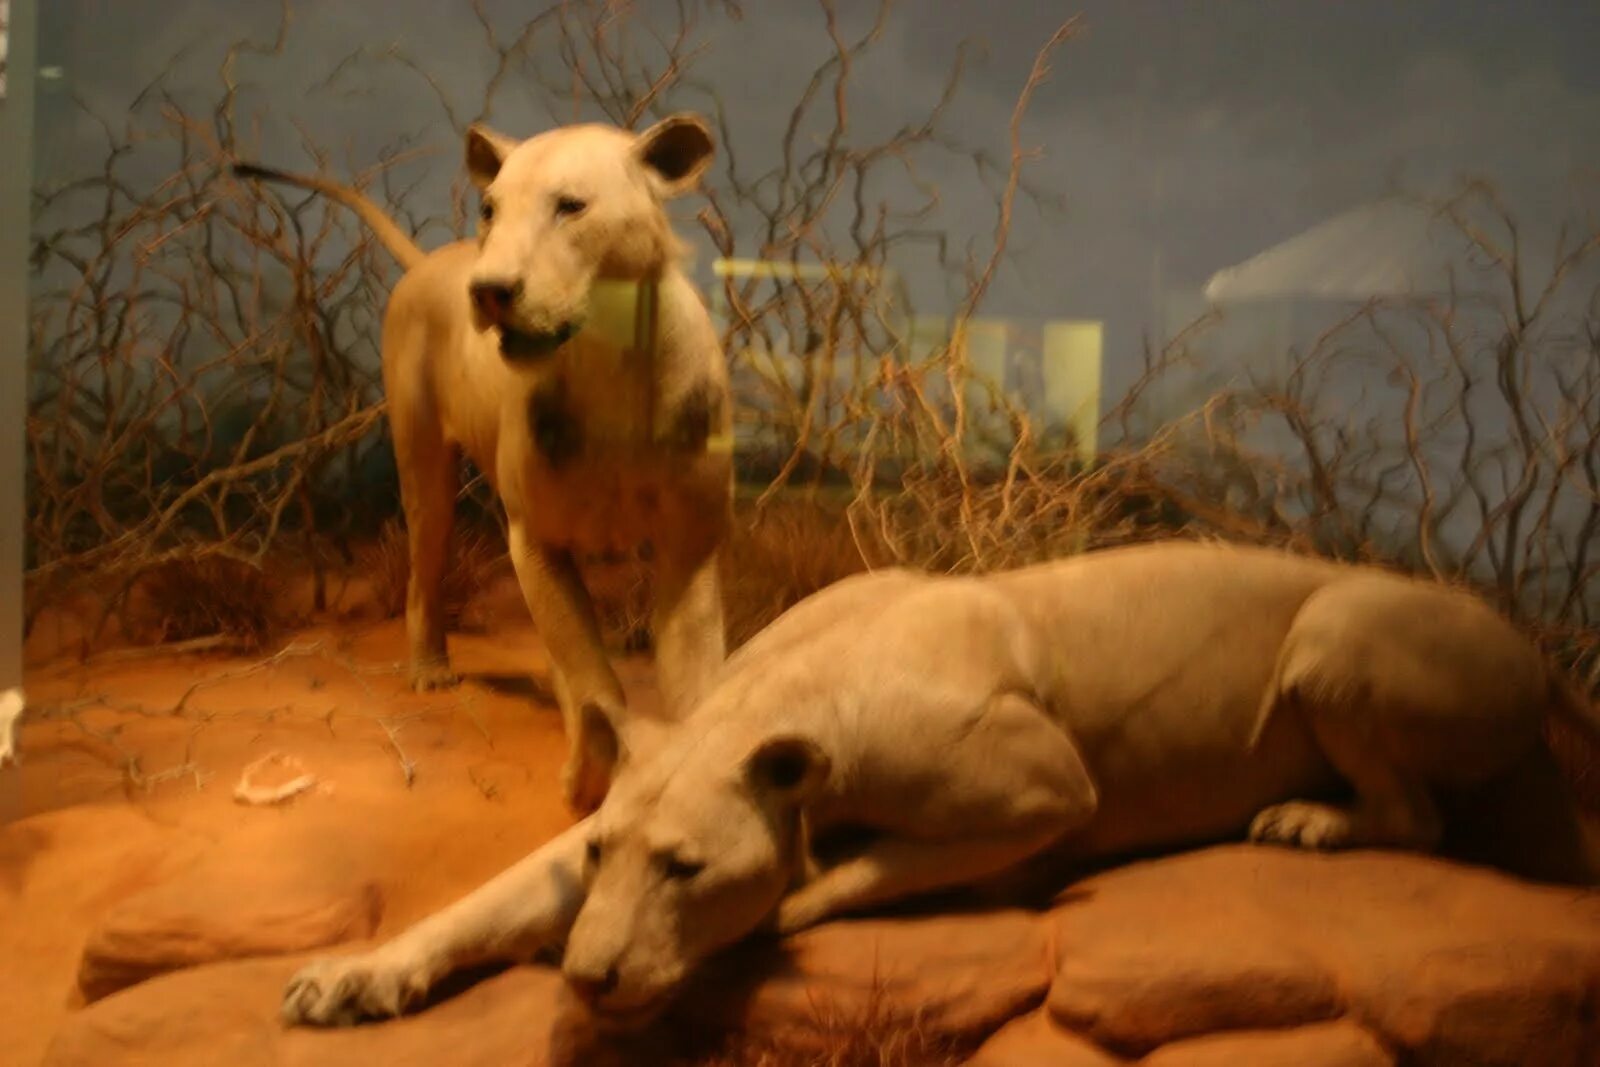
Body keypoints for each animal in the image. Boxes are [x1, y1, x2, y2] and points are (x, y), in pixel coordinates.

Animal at [233, 115, 732, 809]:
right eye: (490, 208)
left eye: (570, 206)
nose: (489, 290)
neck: (610, 367)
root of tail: (432, 261)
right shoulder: (536, 539)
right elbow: (594, 673)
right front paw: (590, 772)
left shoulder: (692, 546)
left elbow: (694, 680)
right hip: (424, 467)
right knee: (427, 569)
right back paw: (431, 672)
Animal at [278, 547, 1600, 1030]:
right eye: (606, 857)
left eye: (689, 870)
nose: (589, 976)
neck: (780, 707)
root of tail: (1536, 647)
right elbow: (476, 904)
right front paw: (348, 978)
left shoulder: (1047, 790)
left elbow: (854, 872)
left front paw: (787, 894)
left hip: (1332, 635)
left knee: (1419, 813)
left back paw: (1308, 818)